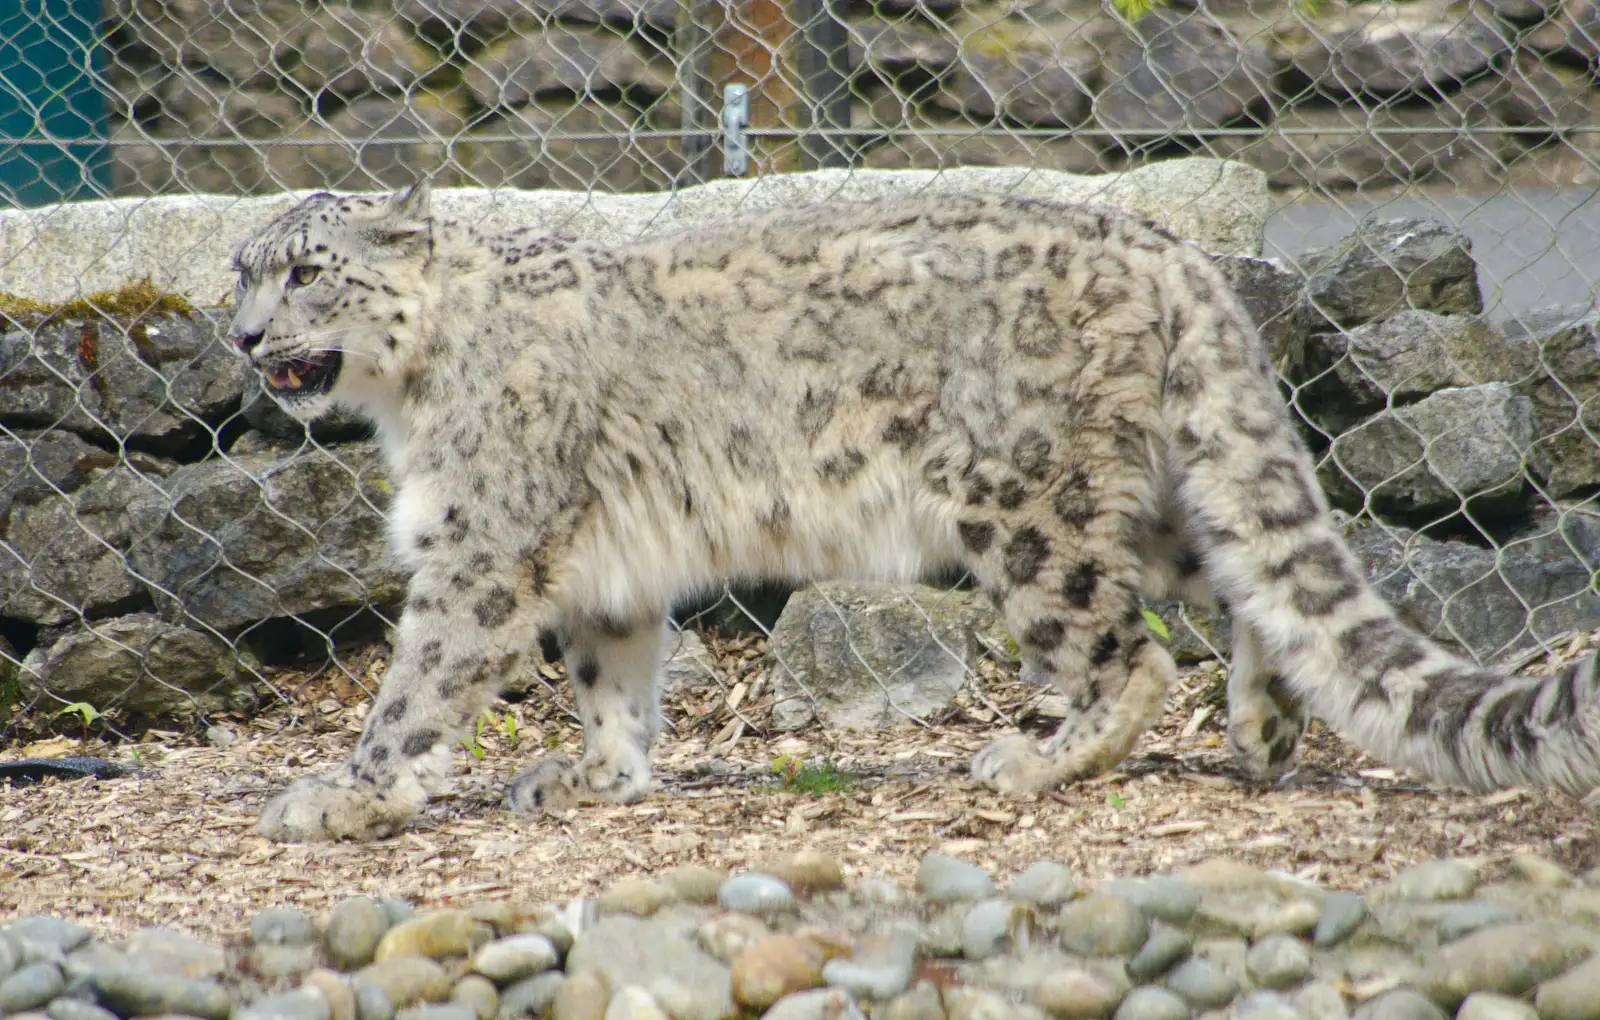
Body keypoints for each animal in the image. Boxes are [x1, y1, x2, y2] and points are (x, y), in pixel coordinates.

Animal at [228, 179, 1600, 844]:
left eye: (306, 271)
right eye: (240, 272)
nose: (239, 337)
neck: (408, 397)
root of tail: (1164, 248)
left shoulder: (484, 547)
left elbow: (421, 679)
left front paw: (344, 796)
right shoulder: (598, 566)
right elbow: (610, 672)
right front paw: (596, 778)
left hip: (1025, 499)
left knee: (1126, 648)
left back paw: (1039, 758)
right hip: (1148, 490)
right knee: (1234, 580)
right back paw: (1259, 731)